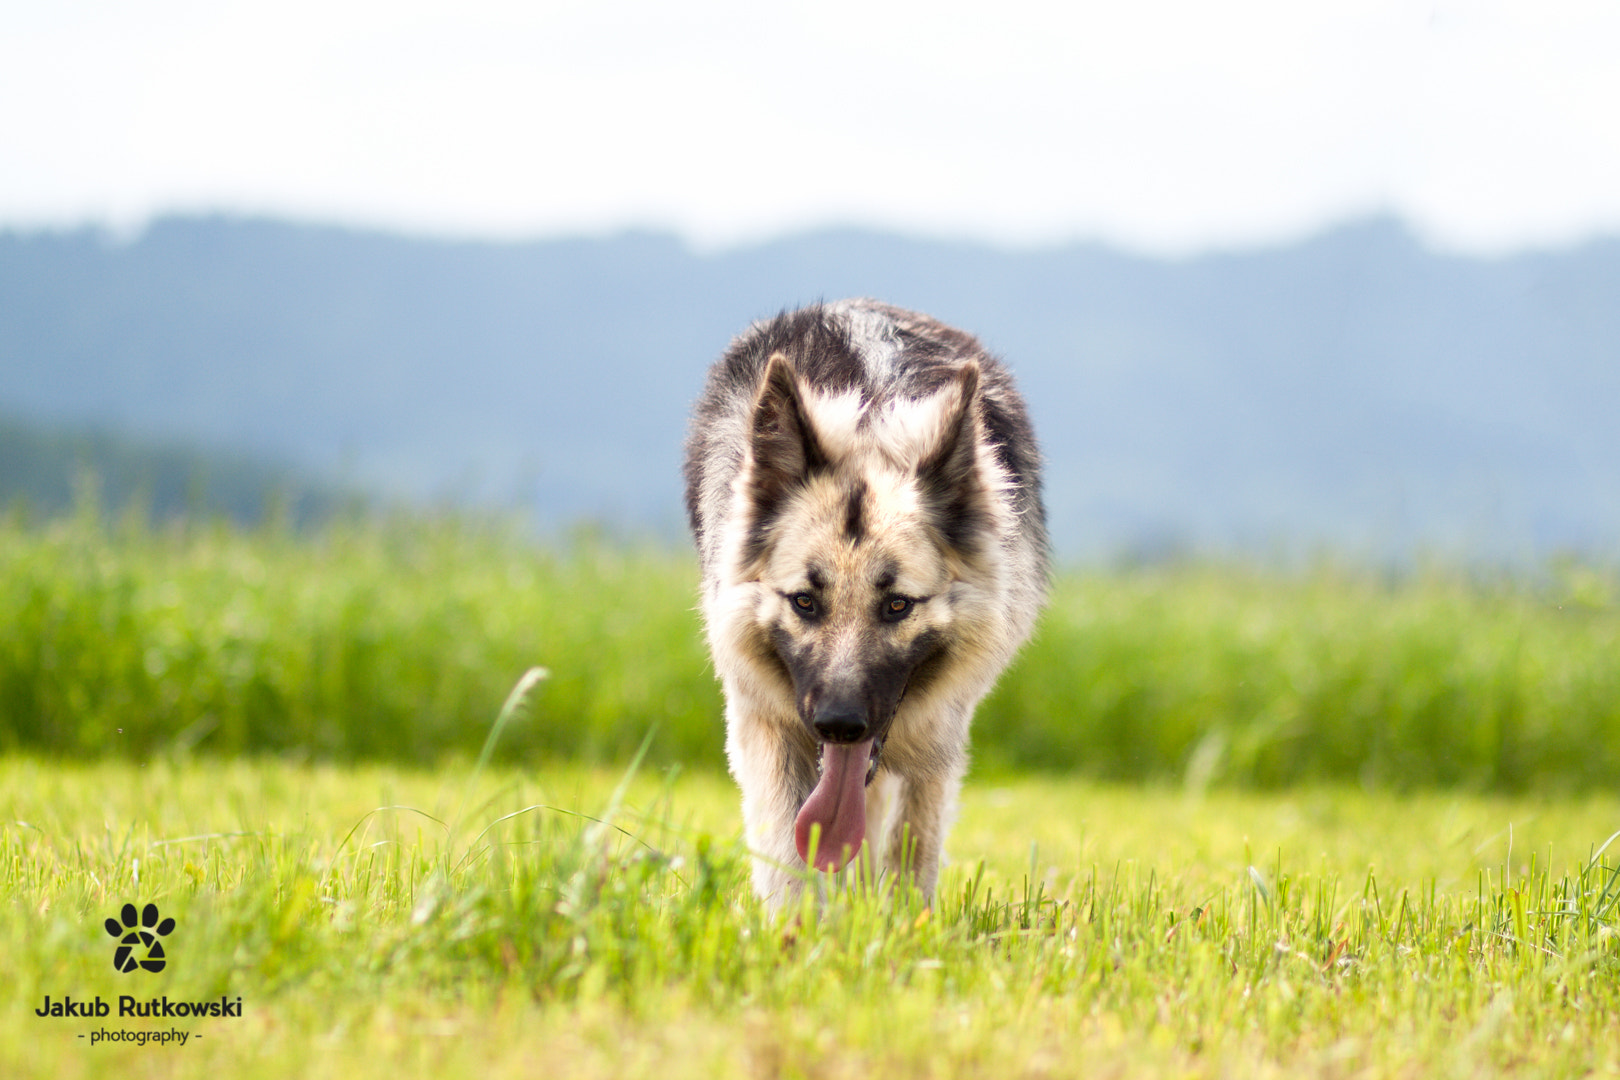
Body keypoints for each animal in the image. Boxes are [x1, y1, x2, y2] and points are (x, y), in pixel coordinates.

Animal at [683, 299, 1049, 906]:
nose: (839, 724)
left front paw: (897, 923)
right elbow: (790, 855)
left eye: (898, 605)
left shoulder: (935, 739)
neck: (871, 426)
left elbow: (909, 849)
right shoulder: (768, 724)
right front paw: (802, 925)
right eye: (804, 602)